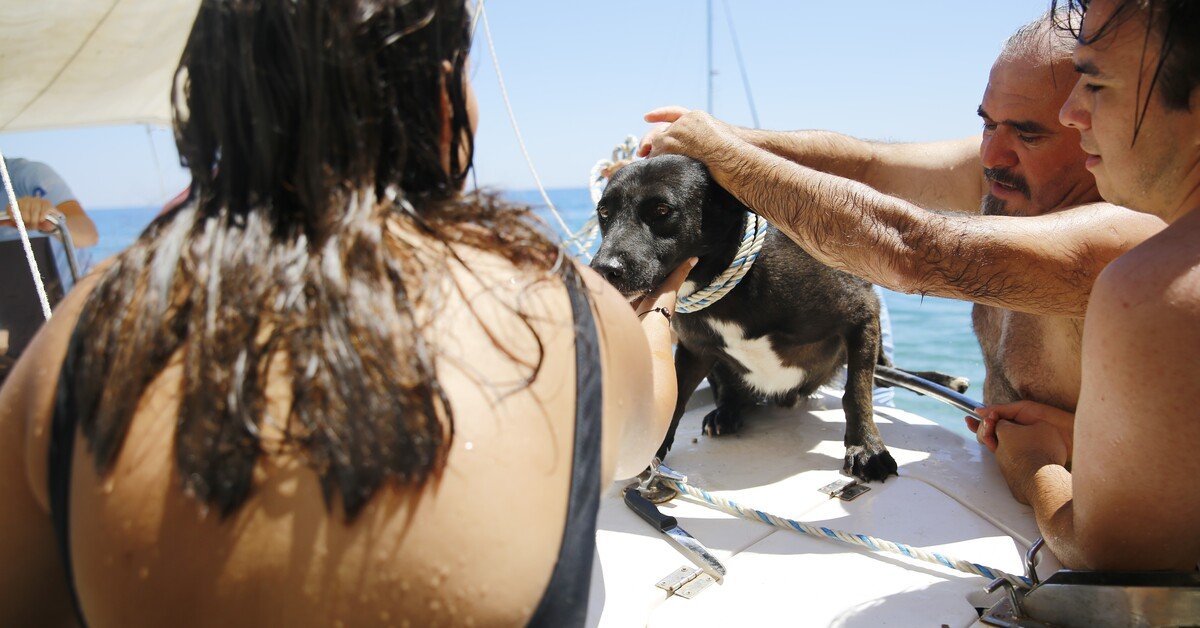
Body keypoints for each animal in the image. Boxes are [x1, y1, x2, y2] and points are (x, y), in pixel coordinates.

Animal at [592, 156, 955, 482]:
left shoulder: (862, 312)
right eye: (604, 212)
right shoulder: (695, 351)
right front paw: (652, 452)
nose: (603, 269)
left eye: (662, 211)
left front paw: (866, 449)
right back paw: (727, 412)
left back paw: (942, 379)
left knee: (887, 373)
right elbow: (677, 398)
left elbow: (856, 392)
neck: (728, 288)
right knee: (730, 390)